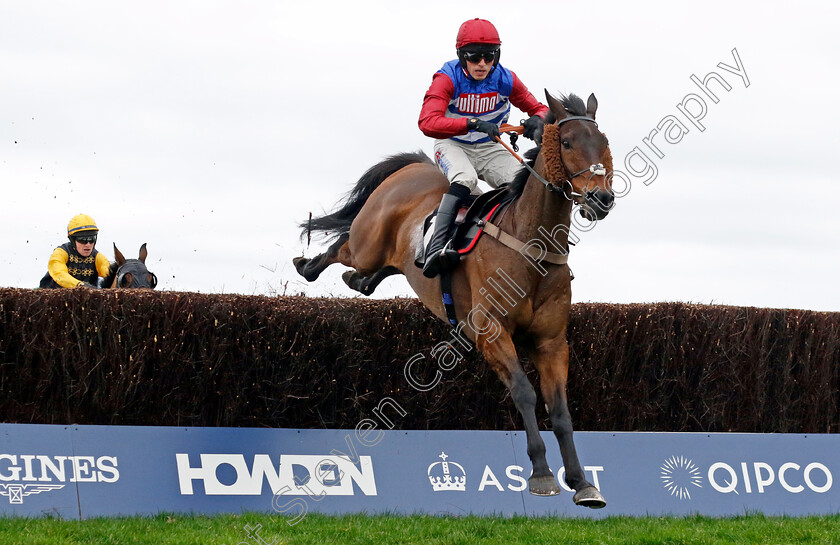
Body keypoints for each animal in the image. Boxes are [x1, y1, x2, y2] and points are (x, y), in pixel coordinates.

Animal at [296, 92, 616, 506]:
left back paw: (361, 279)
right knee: (343, 244)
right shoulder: (491, 333)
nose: (601, 198)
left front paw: (580, 481)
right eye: (566, 142)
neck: (530, 243)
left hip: (394, 260)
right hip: (368, 243)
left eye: (604, 143)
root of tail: (415, 165)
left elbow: (560, 410)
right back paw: (307, 264)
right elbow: (525, 394)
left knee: (370, 273)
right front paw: (542, 474)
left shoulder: (551, 342)